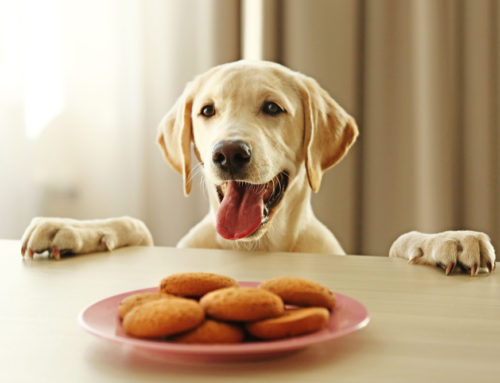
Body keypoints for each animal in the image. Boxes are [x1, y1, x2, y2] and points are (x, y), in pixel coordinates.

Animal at [20, 60, 496, 276]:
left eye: (272, 108)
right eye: (207, 110)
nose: (229, 153)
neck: (254, 247)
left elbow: (401, 241)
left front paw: (448, 239)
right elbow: (135, 224)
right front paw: (73, 228)